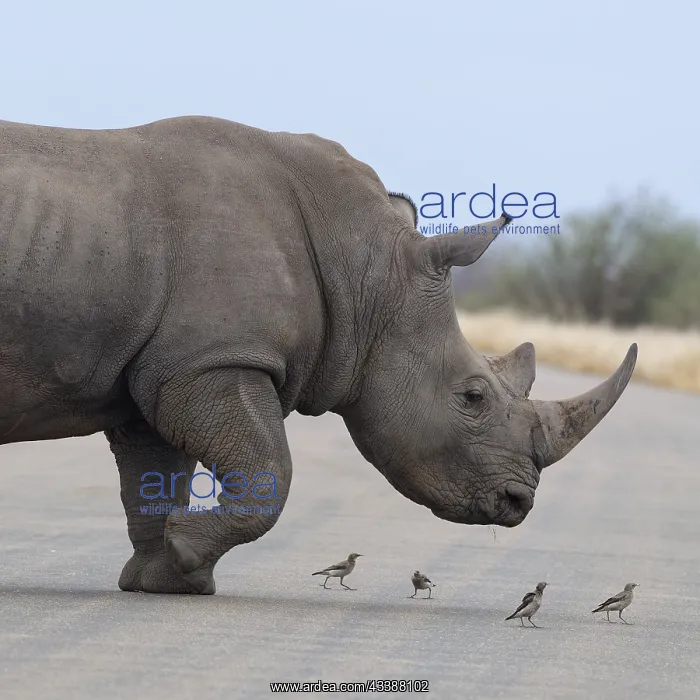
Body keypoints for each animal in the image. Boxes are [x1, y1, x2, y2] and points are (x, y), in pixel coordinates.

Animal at [0, 115, 637, 595]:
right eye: (472, 396)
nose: (517, 502)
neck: (366, 269)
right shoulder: (216, 359)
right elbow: (270, 469)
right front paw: (185, 555)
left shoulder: (165, 367)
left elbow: (155, 475)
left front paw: (165, 579)